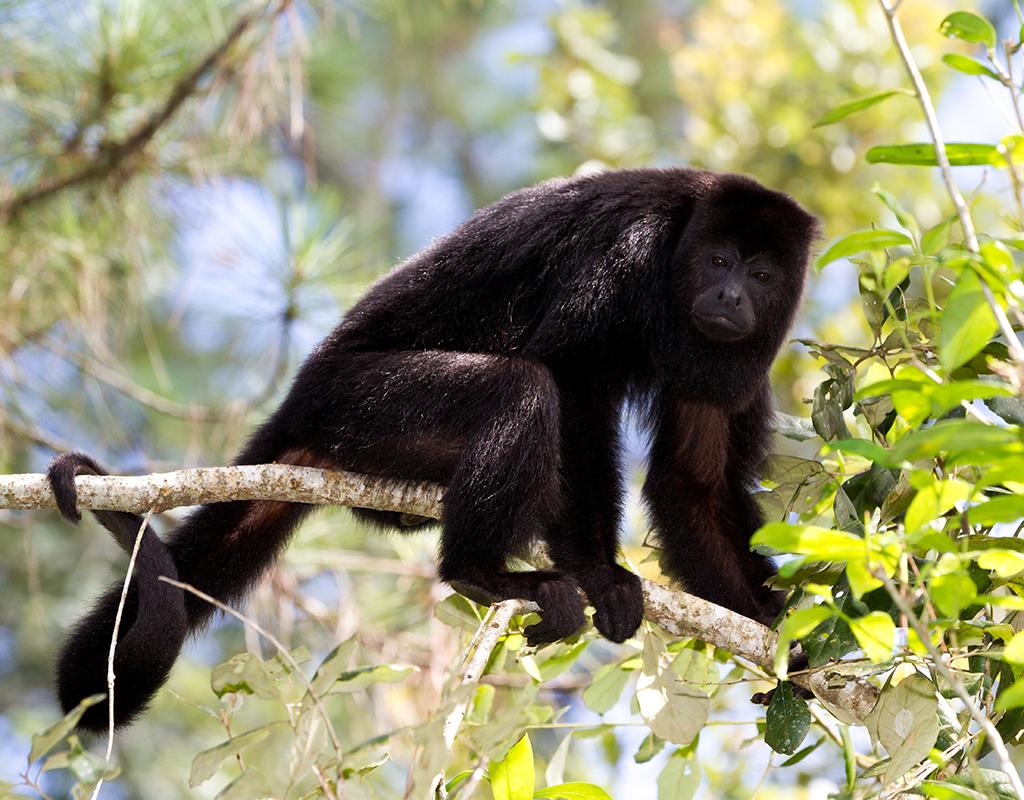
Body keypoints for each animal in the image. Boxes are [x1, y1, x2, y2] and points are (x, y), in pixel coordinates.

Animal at [47, 167, 818, 731]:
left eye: (762, 274)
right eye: (719, 260)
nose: (729, 295)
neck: (680, 248)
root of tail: (300, 402)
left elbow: (693, 484)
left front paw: (787, 635)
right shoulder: (627, 250)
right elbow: (572, 385)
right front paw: (600, 571)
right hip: (358, 404)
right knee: (522, 390)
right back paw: (480, 574)